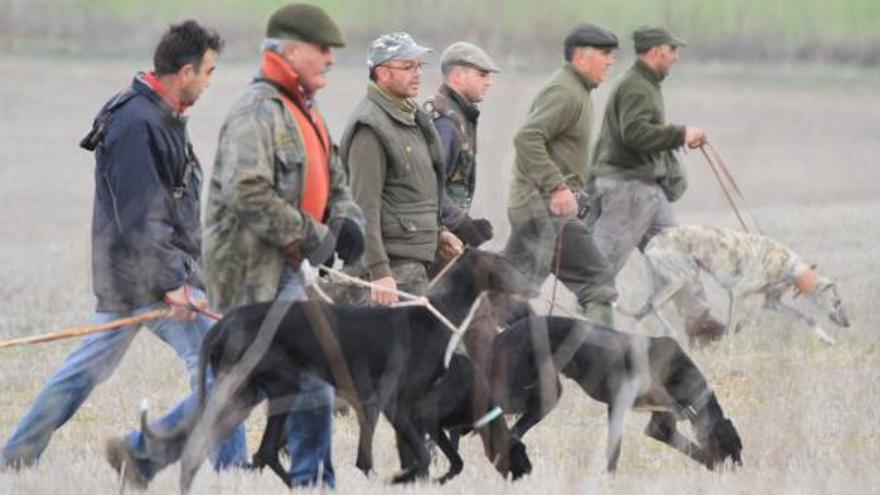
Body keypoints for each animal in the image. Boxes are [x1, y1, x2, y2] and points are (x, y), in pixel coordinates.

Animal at [142, 250, 536, 494]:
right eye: (505, 265)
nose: (533, 285)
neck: (433, 317)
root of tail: (225, 323)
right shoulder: (394, 404)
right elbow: (416, 458)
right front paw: (396, 479)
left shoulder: (404, 410)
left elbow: (419, 458)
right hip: (277, 385)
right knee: (255, 452)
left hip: (251, 394)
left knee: (259, 453)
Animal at [492, 318, 740, 472]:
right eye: (736, 448)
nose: (740, 469)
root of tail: (503, 335)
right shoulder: (626, 409)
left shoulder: (657, 425)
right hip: (519, 394)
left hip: (543, 397)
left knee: (512, 432)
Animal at [628, 226, 848, 344]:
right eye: (837, 301)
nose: (847, 324)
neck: (790, 266)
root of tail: (652, 243)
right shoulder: (737, 293)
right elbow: (737, 324)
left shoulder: (772, 302)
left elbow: (807, 318)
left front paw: (826, 339)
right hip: (680, 279)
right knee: (652, 306)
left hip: (666, 281)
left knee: (644, 310)